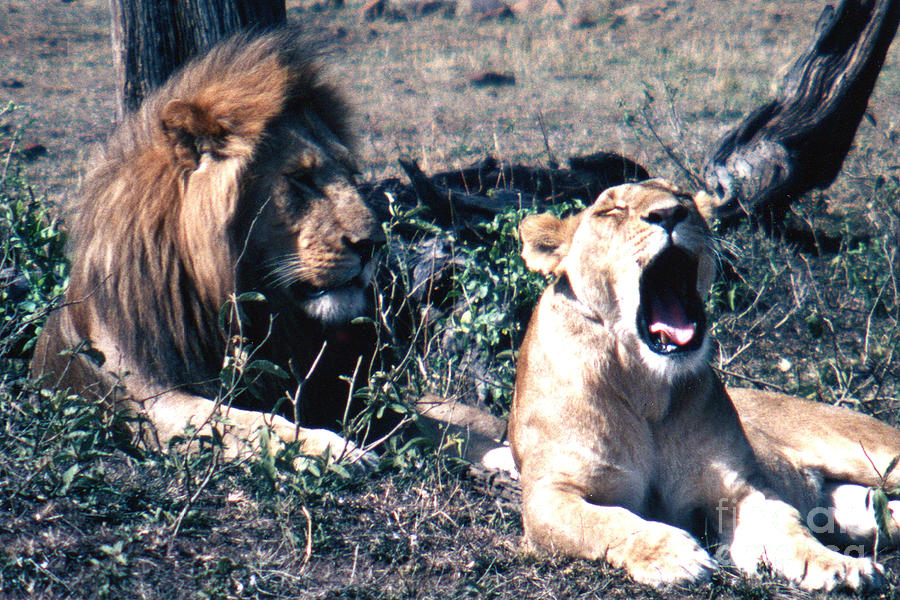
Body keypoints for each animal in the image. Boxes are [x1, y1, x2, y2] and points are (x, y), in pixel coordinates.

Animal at [31, 28, 382, 466]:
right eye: (301, 178)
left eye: (351, 173)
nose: (374, 245)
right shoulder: (151, 402)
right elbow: (254, 421)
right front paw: (336, 448)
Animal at [510, 178, 900, 592]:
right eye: (611, 210)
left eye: (681, 196)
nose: (668, 213)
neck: (645, 385)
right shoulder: (549, 494)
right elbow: (607, 521)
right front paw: (671, 554)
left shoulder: (740, 489)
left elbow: (790, 531)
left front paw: (839, 565)